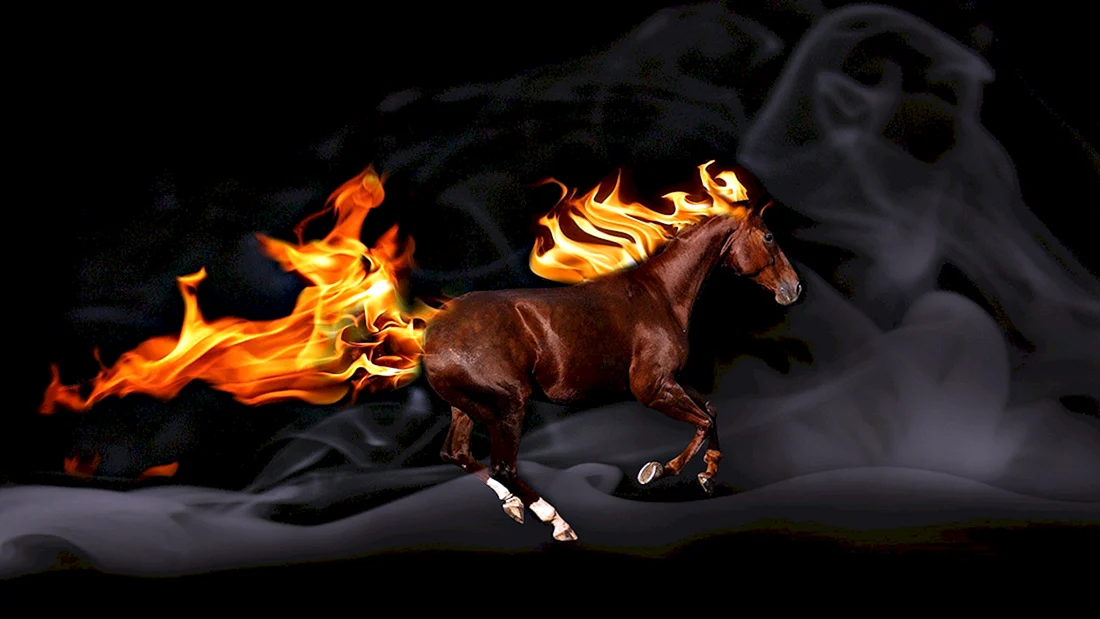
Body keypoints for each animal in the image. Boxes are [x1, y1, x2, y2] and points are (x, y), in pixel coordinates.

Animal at [420, 182, 801, 542]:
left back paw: (512, 504)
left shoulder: (671, 380)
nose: (795, 288)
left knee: (456, 453)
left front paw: (707, 474)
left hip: (466, 407)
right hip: (509, 406)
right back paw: (556, 521)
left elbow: (711, 409)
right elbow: (704, 422)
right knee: (503, 468)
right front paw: (659, 470)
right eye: (768, 236)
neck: (661, 295)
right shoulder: (651, 388)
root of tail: (433, 337)